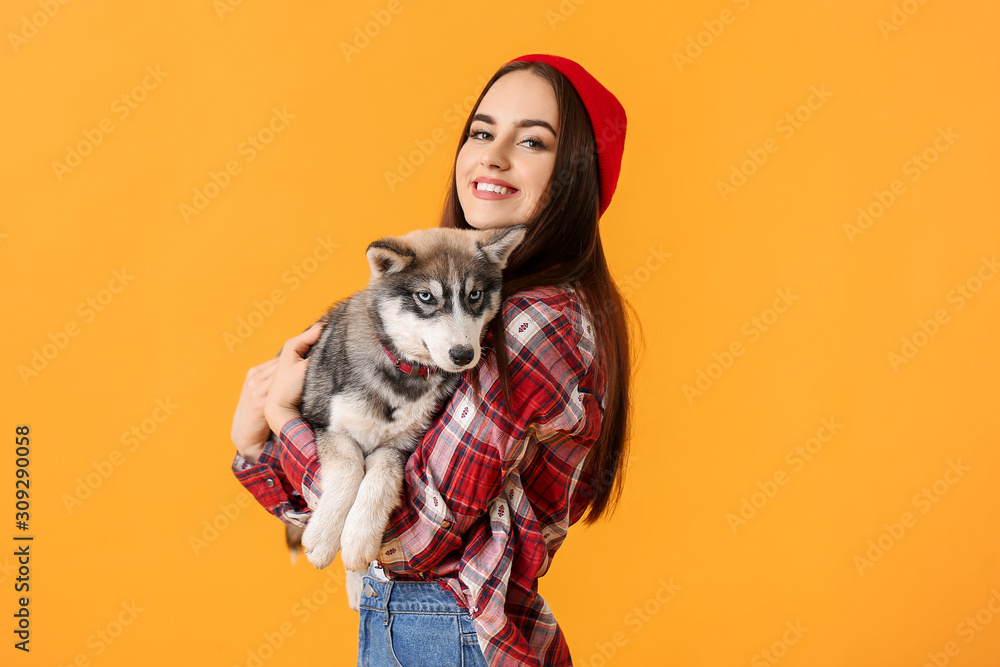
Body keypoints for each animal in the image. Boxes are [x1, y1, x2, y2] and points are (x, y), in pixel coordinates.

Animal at [288, 226, 524, 604]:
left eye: (474, 295)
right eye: (426, 296)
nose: (463, 355)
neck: (406, 376)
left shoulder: (403, 446)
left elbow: (381, 476)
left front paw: (358, 538)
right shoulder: (325, 423)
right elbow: (349, 468)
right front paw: (323, 538)